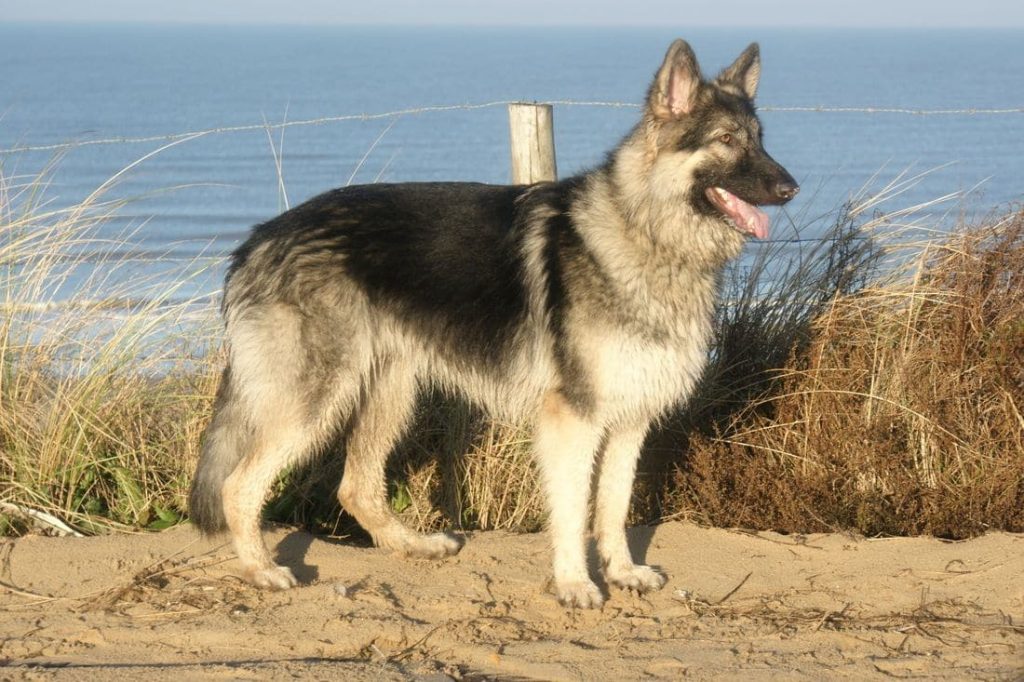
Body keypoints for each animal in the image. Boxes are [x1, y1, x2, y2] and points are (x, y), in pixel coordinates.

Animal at [192, 39, 798, 606]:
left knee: (356, 487)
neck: (643, 231)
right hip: (316, 400)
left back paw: (413, 545)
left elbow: (614, 507)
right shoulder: (573, 422)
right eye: (725, 140)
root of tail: (258, 239)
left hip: (391, 392)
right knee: (238, 486)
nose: (791, 187)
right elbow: (574, 511)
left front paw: (623, 572)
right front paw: (574, 583)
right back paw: (261, 570)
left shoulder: (630, 420)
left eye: (760, 137)